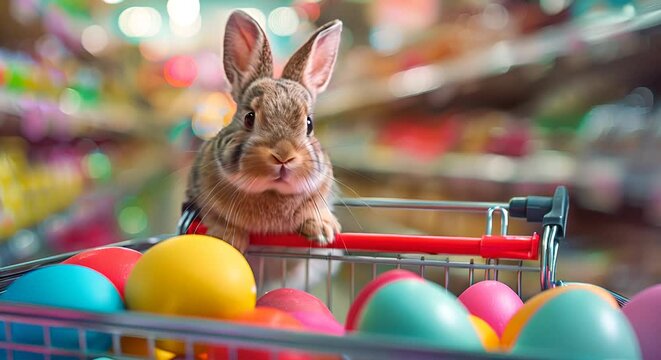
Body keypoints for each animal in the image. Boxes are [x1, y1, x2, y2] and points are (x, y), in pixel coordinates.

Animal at [184, 9, 342, 262]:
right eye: (249, 117)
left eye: (309, 124)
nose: (283, 156)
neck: (271, 193)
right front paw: (228, 238)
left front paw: (323, 230)